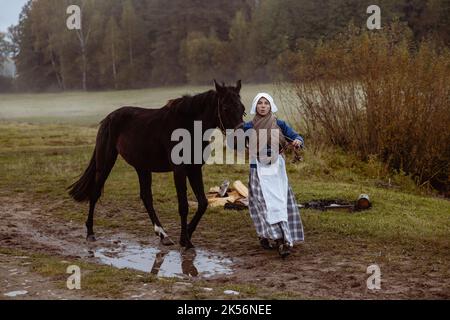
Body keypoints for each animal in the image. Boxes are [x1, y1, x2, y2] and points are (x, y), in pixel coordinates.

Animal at [68, 79, 246, 248]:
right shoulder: (179, 170)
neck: (188, 126)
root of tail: (108, 119)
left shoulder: (194, 169)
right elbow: (183, 206)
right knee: (95, 193)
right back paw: (90, 232)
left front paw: (185, 235)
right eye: (225, 108)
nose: (239, 140)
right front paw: (186, 241)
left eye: (242, 108)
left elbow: (202, 203)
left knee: (146, 197)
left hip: (142, 168)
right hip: (106, 162)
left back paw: (163, 235)